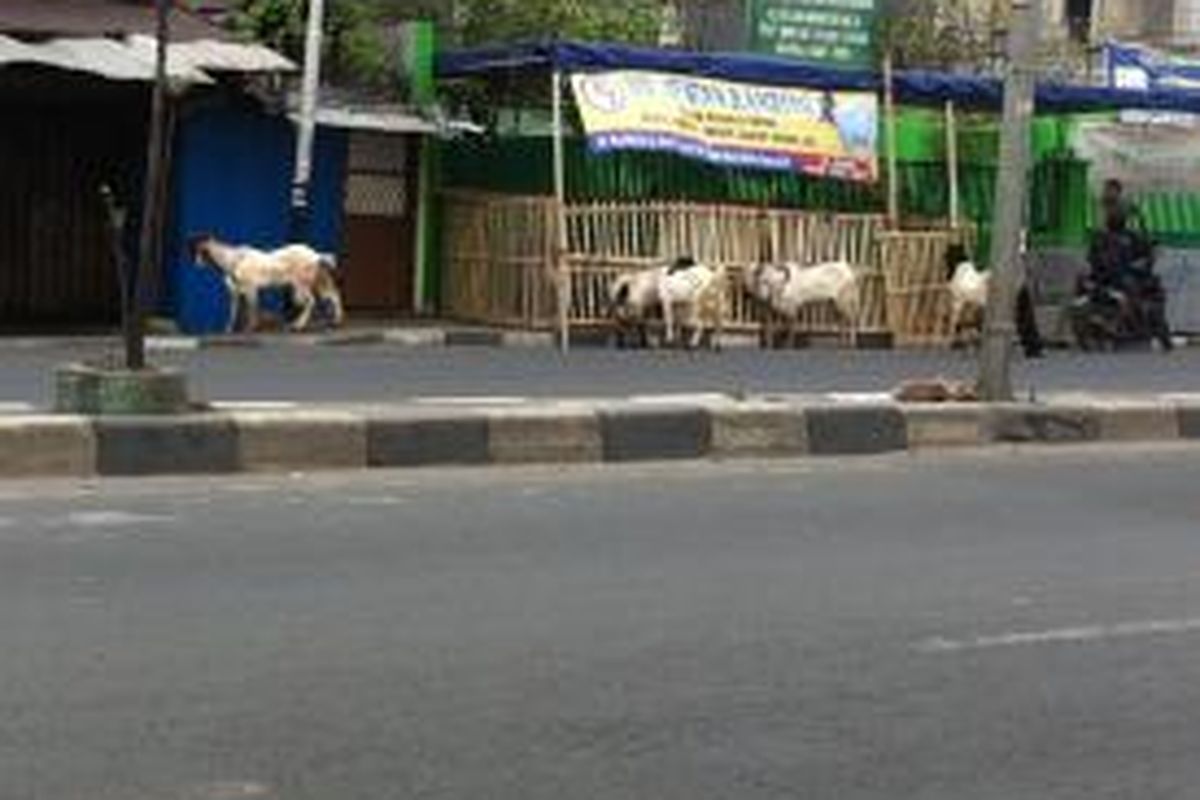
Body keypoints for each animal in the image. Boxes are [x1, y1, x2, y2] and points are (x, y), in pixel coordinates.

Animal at [189, 232, 345, 333]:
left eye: (201, 250)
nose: (197, 264)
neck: (234, 260)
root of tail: (316, 255)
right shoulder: (236, 292)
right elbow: (234, 311)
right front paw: (229, 329)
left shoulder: (251, 288)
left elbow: (252, 309)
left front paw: (250, 328)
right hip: (317, 279)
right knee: (332, 295)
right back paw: (335, 321)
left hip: (300, 283)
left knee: (311, 300)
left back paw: (298, 325)